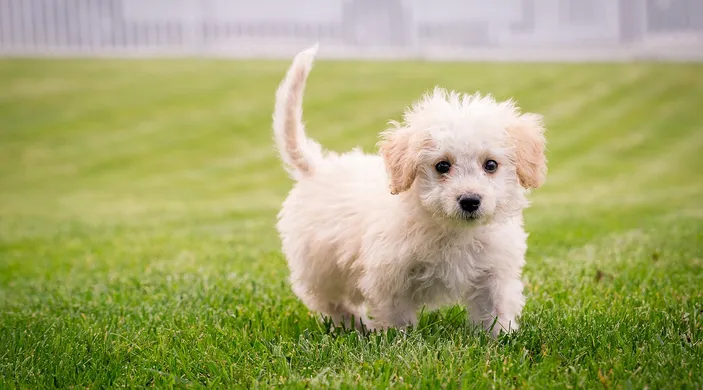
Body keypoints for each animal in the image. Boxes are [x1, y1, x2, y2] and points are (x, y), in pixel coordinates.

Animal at [272, 45, 548, 336]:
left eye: (491, 165)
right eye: (442, 166)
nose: (470, 201)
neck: (451, 229)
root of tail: (318, 167)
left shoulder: (493, 273)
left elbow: (495, 309)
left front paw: (501, 337)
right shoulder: (389, 278)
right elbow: (397, 318)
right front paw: (398, 340)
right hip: (320, 267)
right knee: (332, 302)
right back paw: (357, 326)